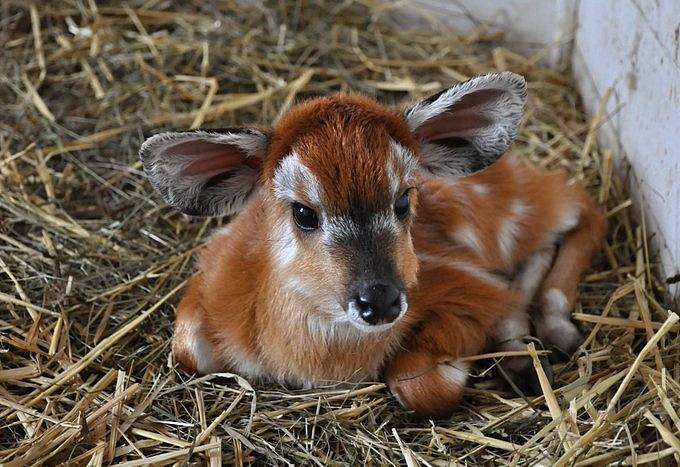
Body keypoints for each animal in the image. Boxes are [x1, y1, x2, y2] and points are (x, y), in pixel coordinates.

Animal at [139, 73, 604, 420]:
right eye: (304, 212)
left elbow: (421, 386)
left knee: (581, 205)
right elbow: (186, 345)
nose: (379, 300)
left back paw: (551, 336)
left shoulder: (467, 283)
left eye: (403, 201)